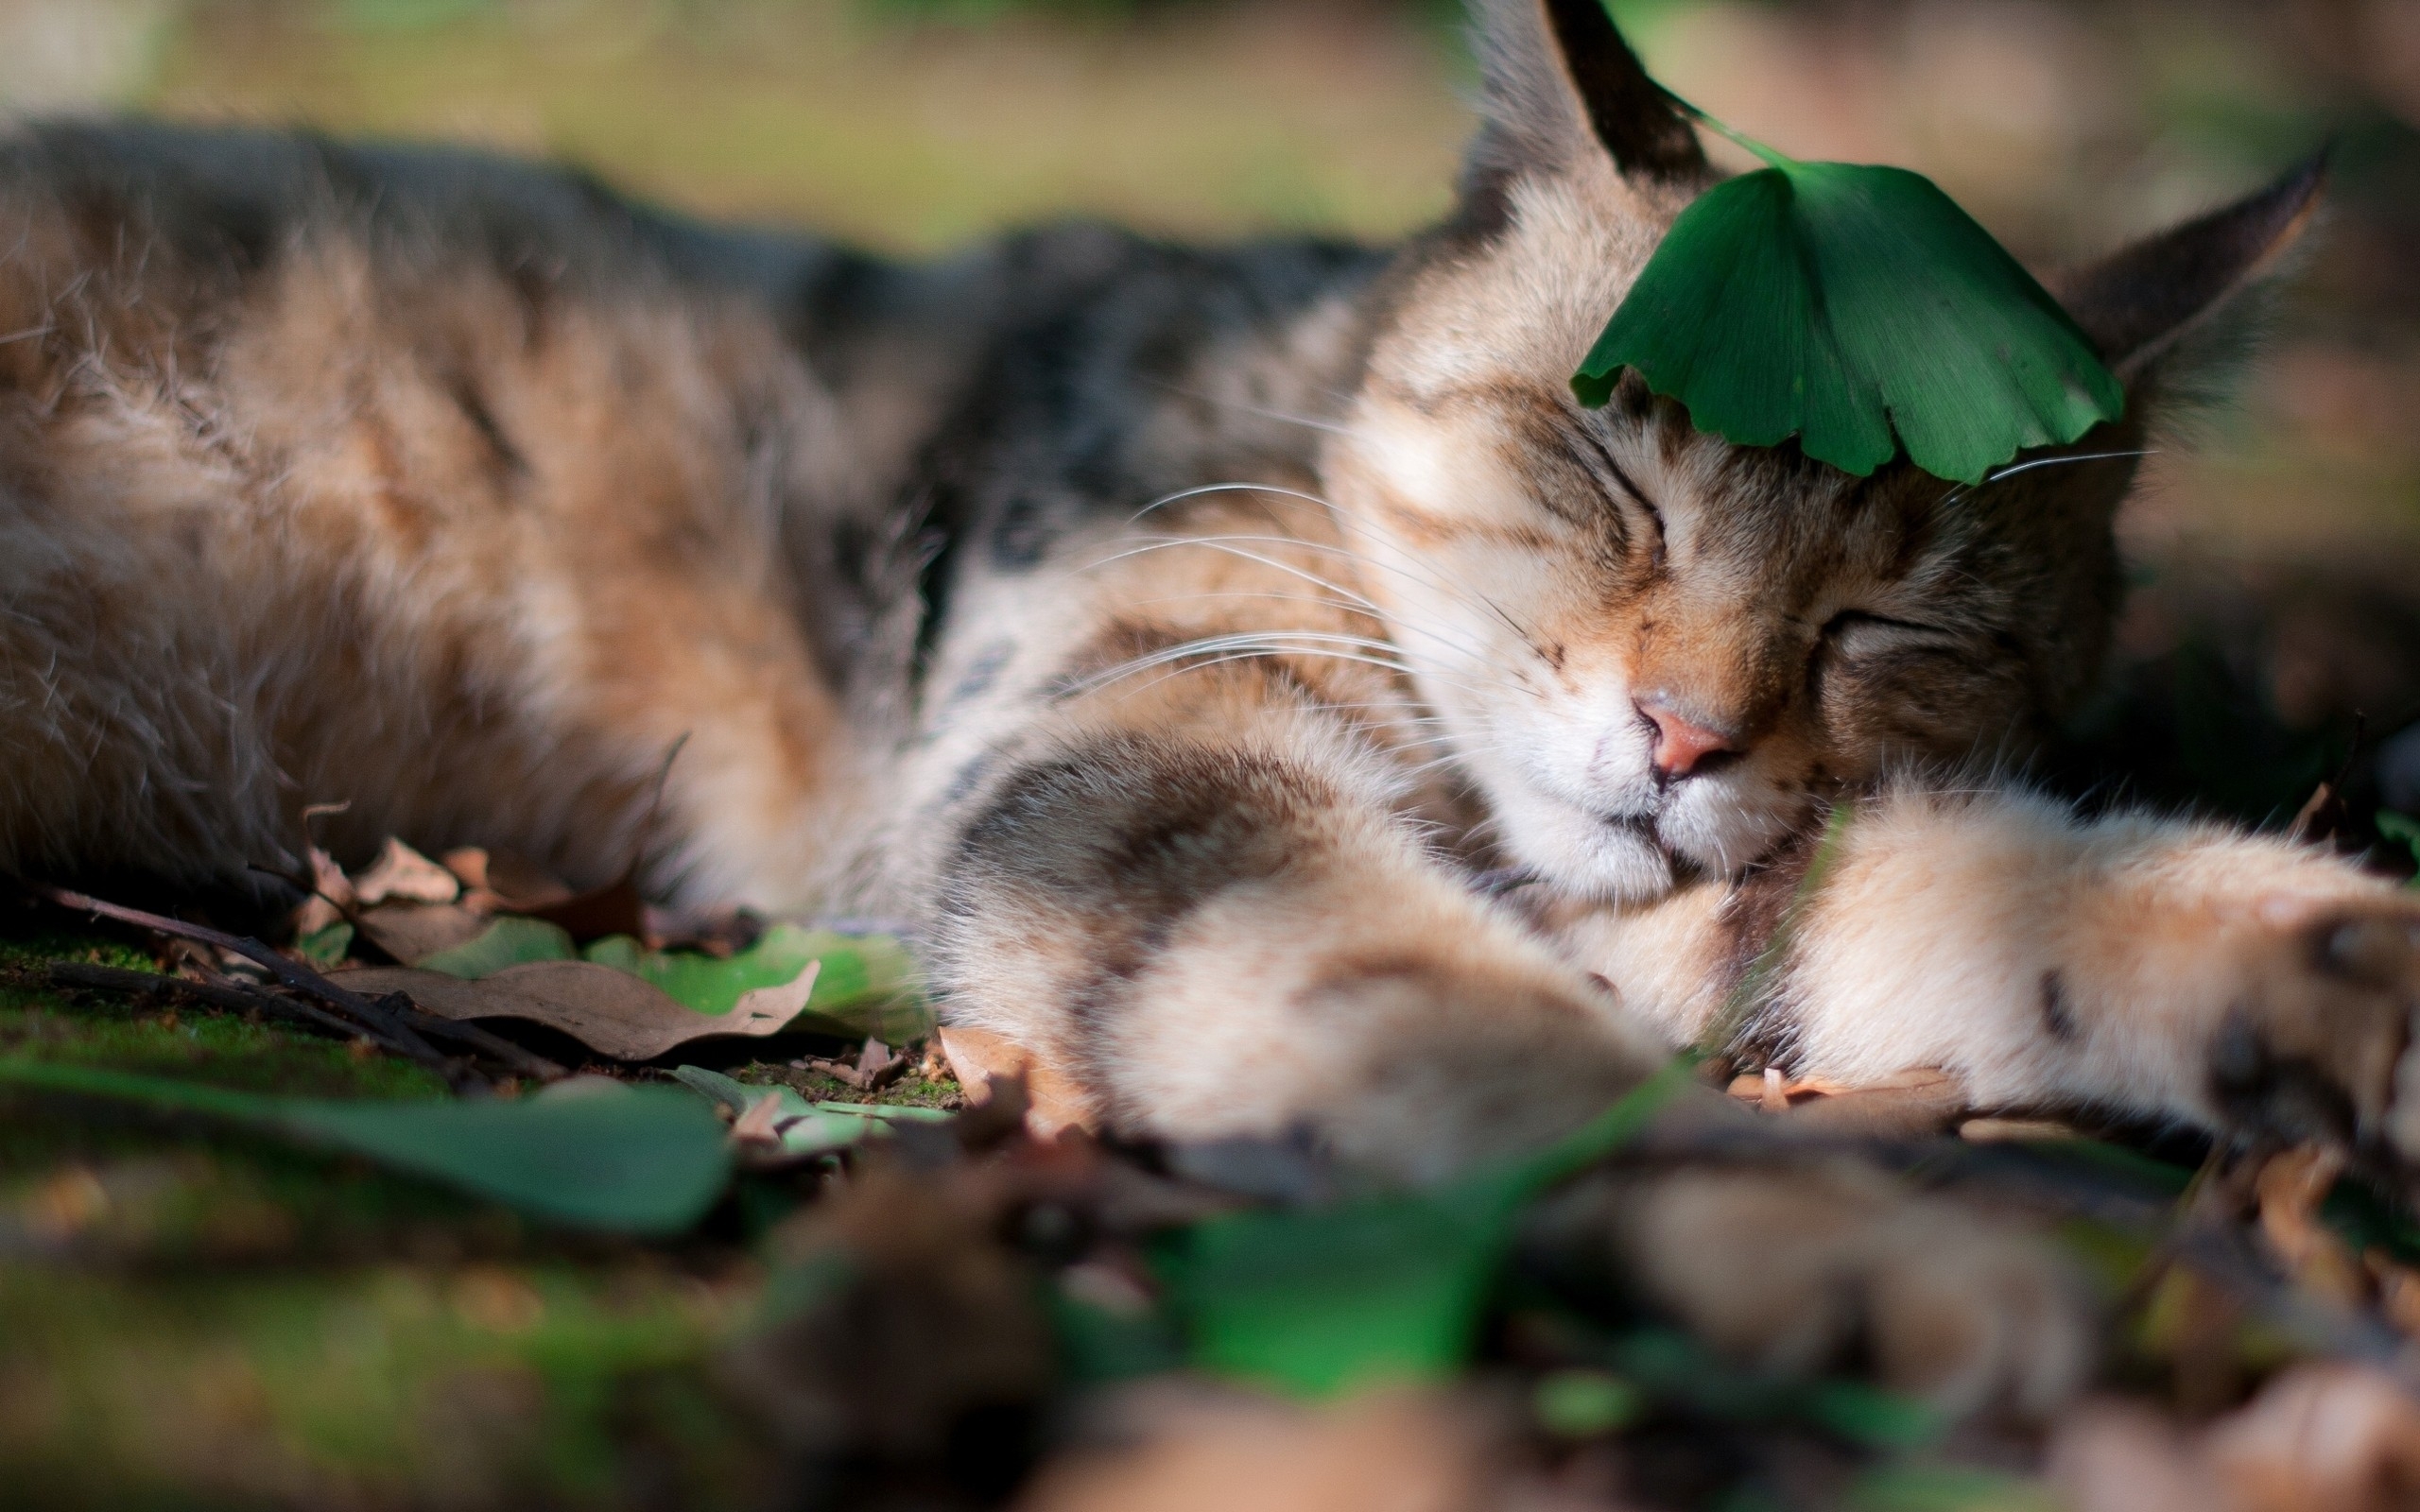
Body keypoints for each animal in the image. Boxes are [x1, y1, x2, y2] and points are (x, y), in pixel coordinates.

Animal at [5, 0, 2420, 1413]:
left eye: (1890, 614)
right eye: (1609, 462)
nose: (1680, 737)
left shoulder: (1714, 869)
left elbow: (2007, 888)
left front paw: (2335, 971)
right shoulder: (1151, 768)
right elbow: (1464, 1034)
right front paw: (1834, 1239)